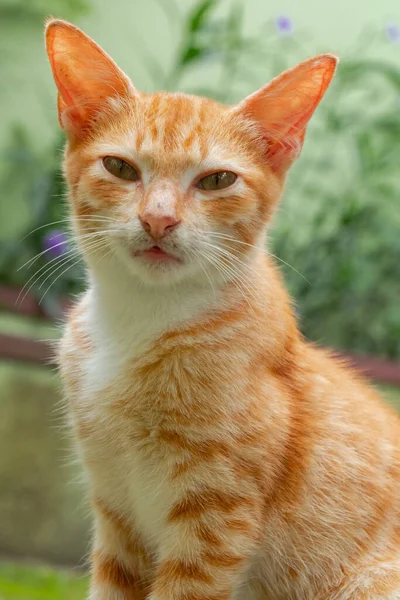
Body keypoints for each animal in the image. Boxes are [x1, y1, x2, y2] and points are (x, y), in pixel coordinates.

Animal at [45, 18, 400, 600]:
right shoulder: (117, 512)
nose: (158, 219)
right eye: (120, 168)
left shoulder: (214, 522)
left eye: (217, 180)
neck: (139, 321)